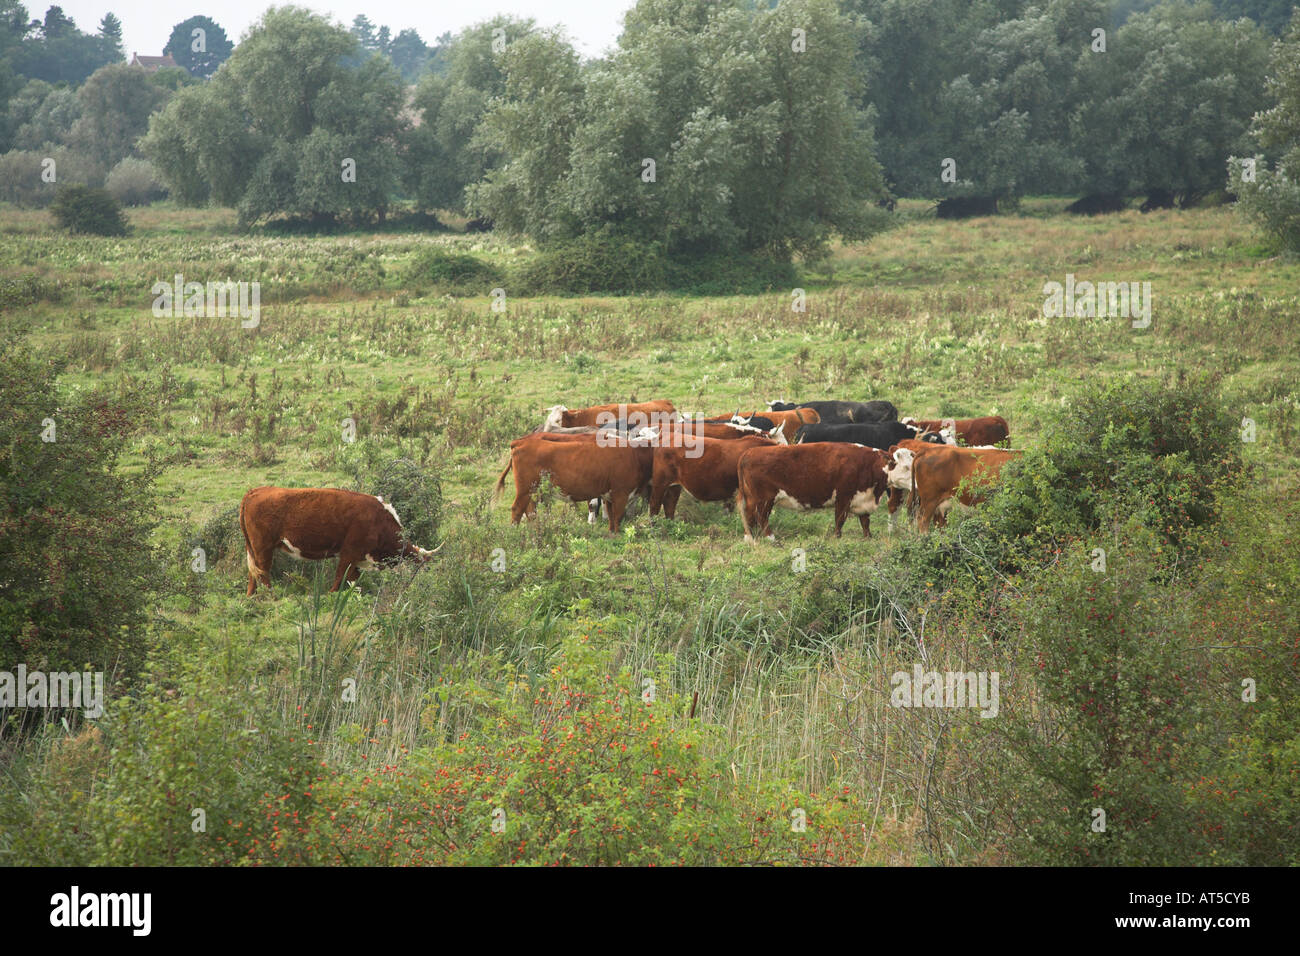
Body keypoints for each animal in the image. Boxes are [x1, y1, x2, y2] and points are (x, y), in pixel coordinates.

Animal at [236, 489, 434, 595]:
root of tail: (256, 491)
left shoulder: (357, 558)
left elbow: (352, 581)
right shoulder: (349, 552)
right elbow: (340, 577)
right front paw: (330, 597)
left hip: (254, 548)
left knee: (254, 573)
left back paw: (251, 597)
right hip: (263, 547)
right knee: (263, 572)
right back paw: (271, 596)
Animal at [491, 431, 655, 530]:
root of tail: (520, 442)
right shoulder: (619, 492)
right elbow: (606, 510)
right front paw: (594, 522)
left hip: (533, 490)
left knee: (530, 510)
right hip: (525, 489)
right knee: (518, 508)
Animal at [738, 442, 889, 541]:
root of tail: (748, 452)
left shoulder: (863, 500)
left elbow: (865, 522)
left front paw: (868, 537)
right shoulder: (843, 496)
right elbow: (840, 519)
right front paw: (837, 537)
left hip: (752, 499)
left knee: (749, 515)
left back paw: (751, 538)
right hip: (764, 499)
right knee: (761, 517)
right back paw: (771, 538)